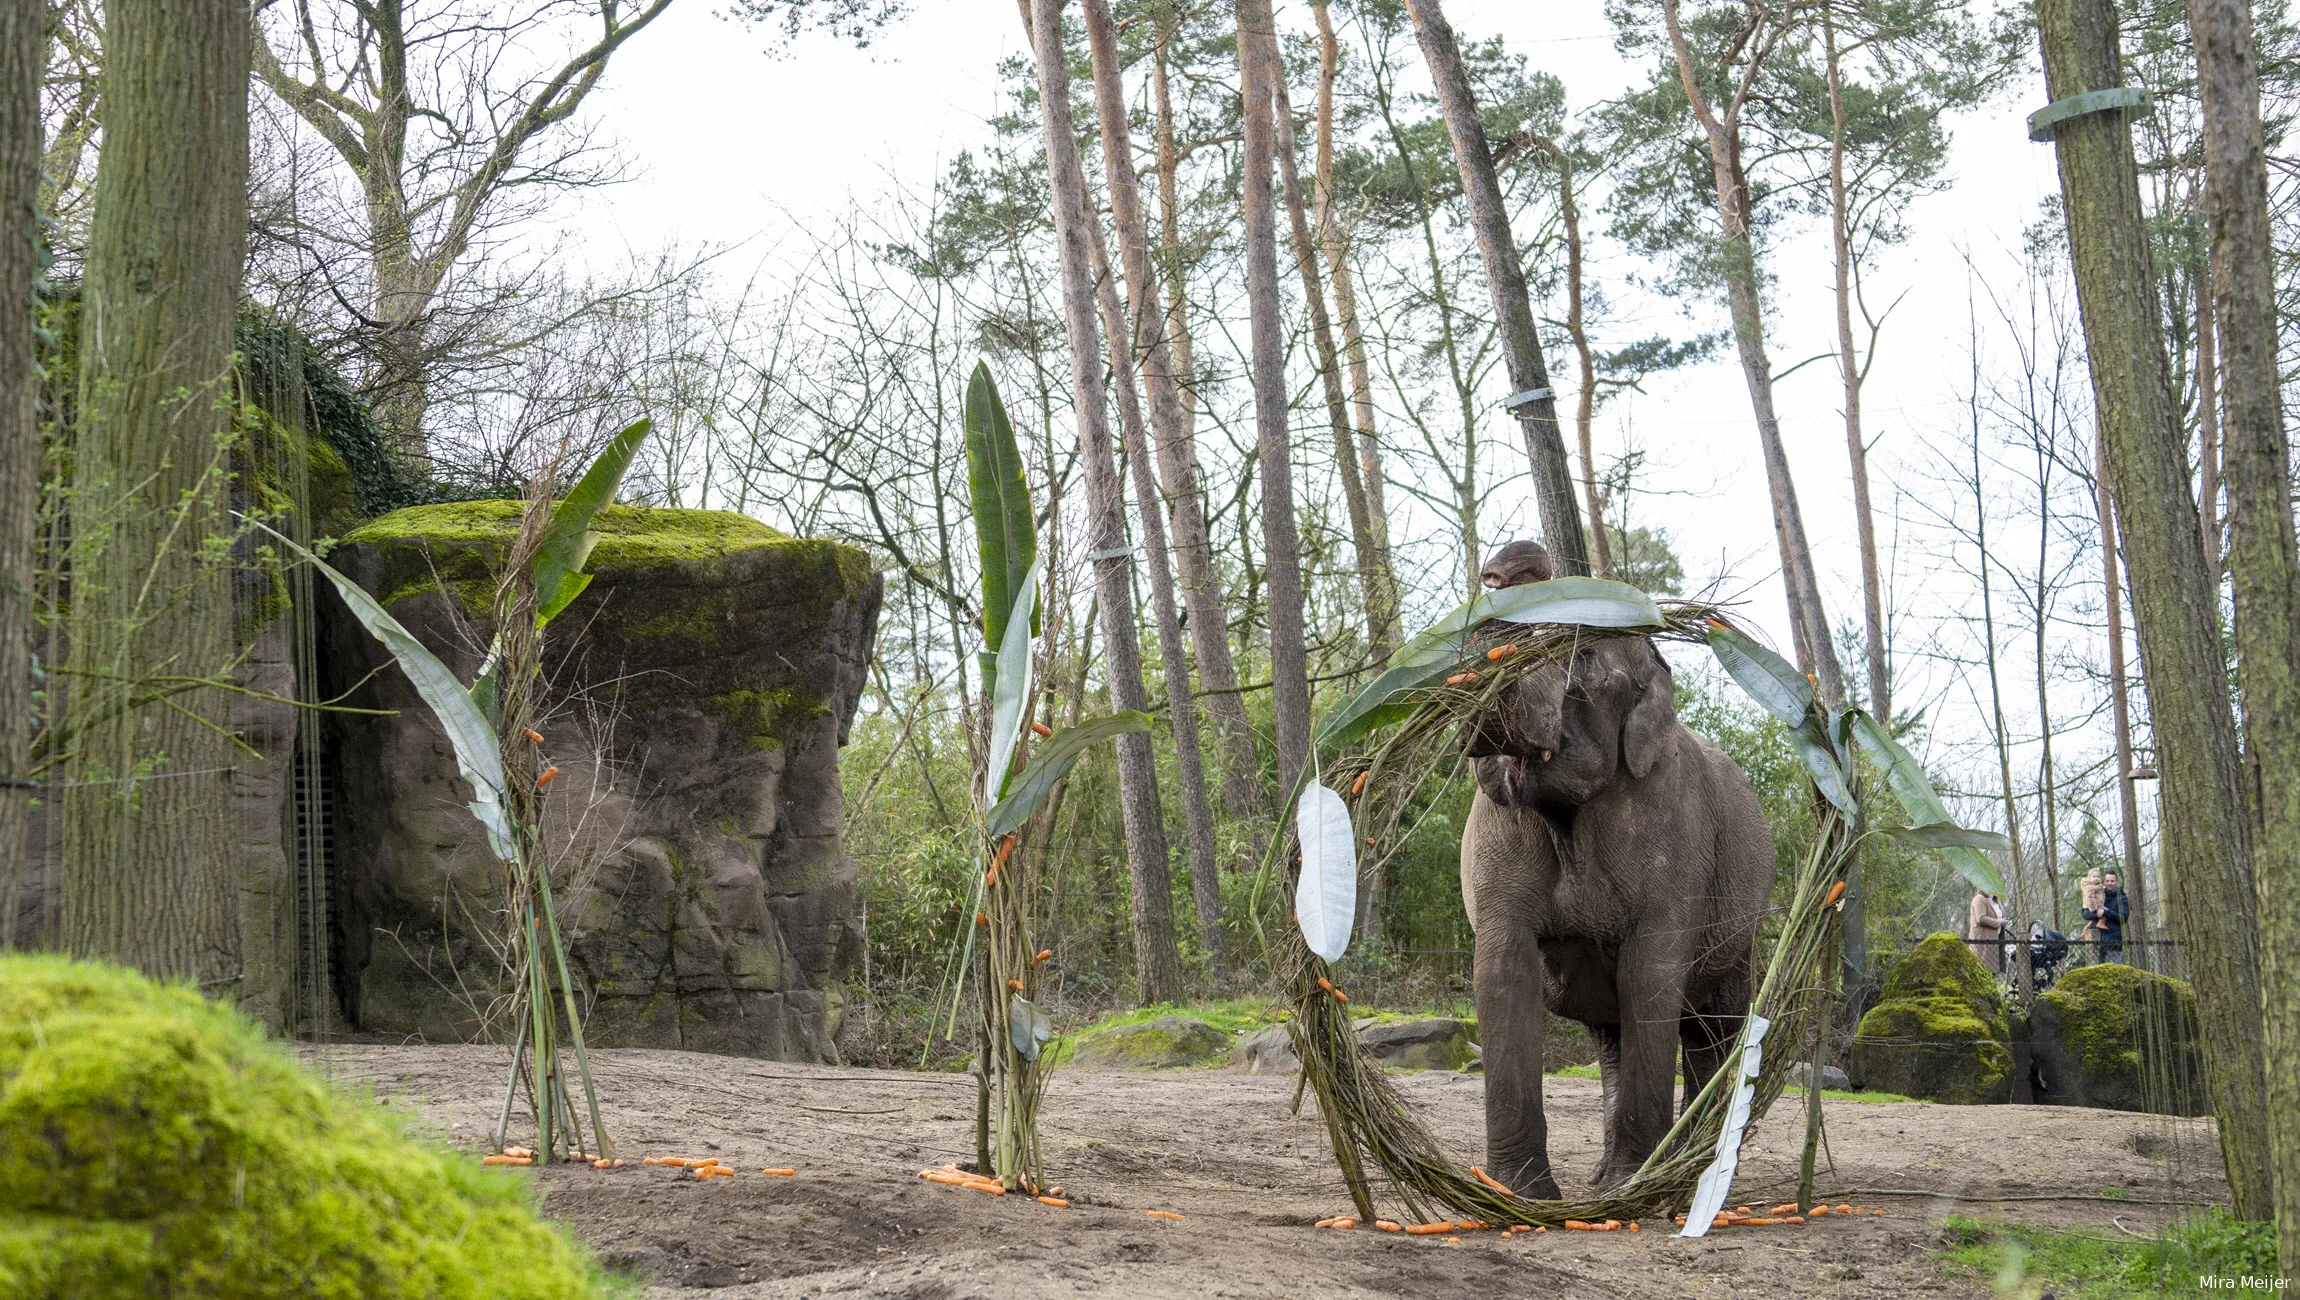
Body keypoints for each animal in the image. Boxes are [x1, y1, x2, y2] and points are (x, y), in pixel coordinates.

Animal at [1462, 540, 1766, 1196]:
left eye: (1581, 656)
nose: (1502, 571)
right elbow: (1502, 974)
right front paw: (1520, 1194)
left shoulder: (1672, 831)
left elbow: (1650, 975)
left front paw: (1633, 1184)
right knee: (1614, 1039)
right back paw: (1609, 1181)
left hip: (1743, 926)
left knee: (1714, 1030)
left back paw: (1687, 1170)